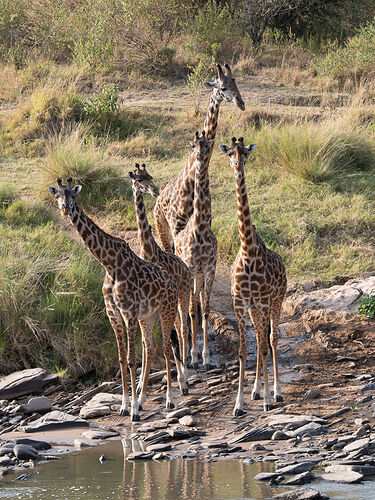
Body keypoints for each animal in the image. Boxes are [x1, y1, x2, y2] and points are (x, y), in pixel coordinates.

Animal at [48, 178, 185, 420]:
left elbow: (131, 359)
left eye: (72, 194)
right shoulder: (114, 314)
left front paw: (133, 411)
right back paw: (144, 398)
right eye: (57, 196)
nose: (65, 208)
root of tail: (171, 281)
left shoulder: (128, 312)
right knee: (151, 347)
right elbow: (122, 359)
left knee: (167, 347)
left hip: (166, 310)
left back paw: (169, 400)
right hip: (148, 316)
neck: (109, 264)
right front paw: (125, 405)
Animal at [129, 163, 192, 390]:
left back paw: (185, 374)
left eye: (151, 176)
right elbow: (148, 342)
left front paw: (181, 379)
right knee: (177, 330)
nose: (155, 190)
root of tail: (186, 268)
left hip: (182, 294)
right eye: (138, 179)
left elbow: (170, 338)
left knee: (182, 328)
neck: (149, 250)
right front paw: (140, 384)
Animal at [154, 64, 245, 252]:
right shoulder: (177, 225)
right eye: (222, 88)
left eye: (235, 82)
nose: (241, 103)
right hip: (162, 225)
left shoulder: (207, 221)